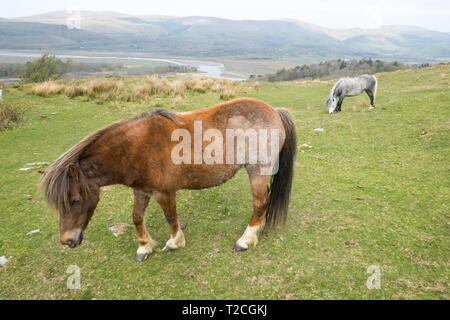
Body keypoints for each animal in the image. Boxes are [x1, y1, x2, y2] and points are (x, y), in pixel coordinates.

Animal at [40, 98, 298, 262]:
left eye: (74, 200)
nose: (67, 241)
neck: (136, 147)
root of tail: (274, 110)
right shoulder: (140, 190)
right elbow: (136, 217)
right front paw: (144, 247)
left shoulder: (164, 192)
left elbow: (171, 217)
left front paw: (174, 243)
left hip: (257, 170)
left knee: (260, 202)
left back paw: (245, 240)